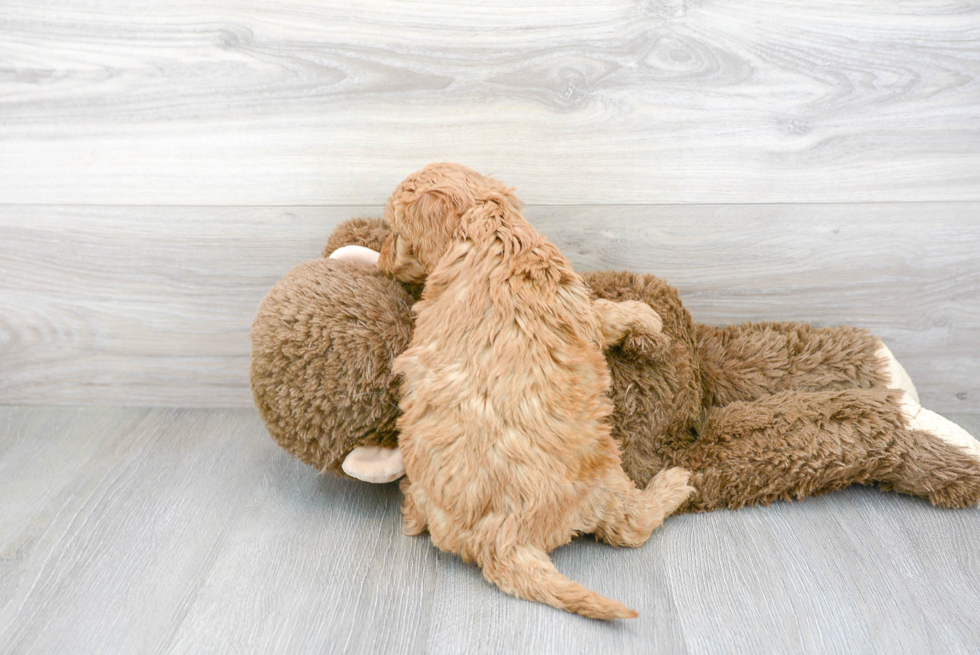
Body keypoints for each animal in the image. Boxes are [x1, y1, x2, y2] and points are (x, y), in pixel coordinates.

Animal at [378, 164, 696, 620]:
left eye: (394, 231)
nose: (381, 262)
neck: (486, 229)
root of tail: (499, 542)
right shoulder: (577, 304)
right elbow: (610, 313)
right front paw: (646, 317)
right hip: (601, 476)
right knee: (628, 527)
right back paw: (672, 485)